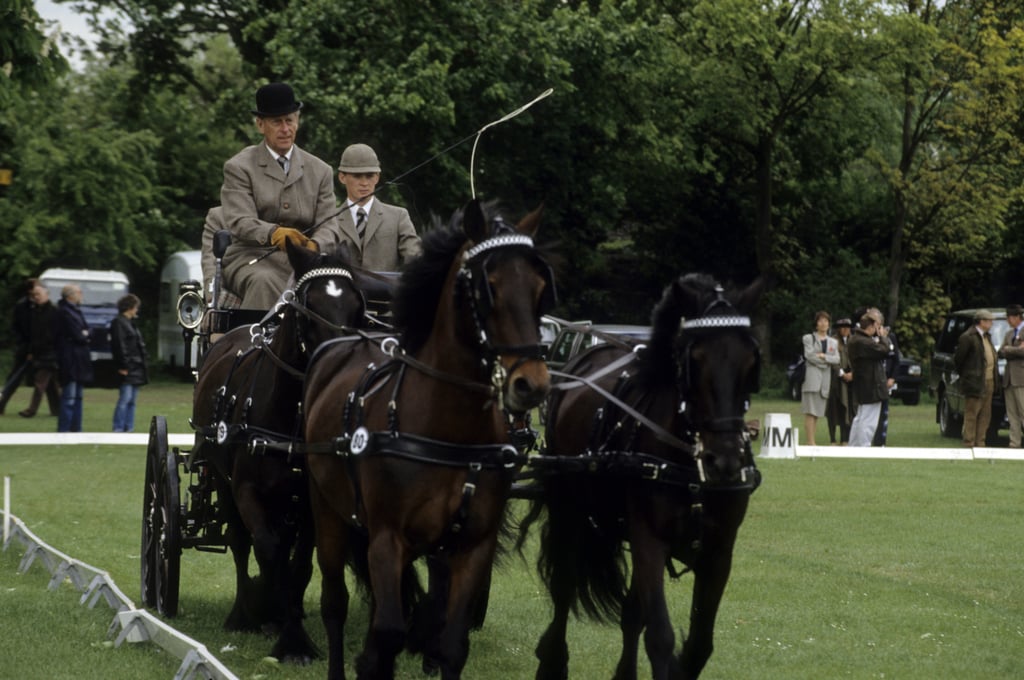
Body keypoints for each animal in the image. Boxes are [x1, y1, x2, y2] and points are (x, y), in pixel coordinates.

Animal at [190, 240, 374, 663]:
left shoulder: (309, 502)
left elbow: (300, 564)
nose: (341, 357)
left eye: (357, 304)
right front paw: (281, 625)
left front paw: (293, 630)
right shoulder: (246, 491)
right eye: (309, 304)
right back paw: (243, 614)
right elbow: (267, 550)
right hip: (222, 481)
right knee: (241, 544)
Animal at [303, 197, 557, 680]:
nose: (530, 385)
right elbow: (387, 634)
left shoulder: (471, 546)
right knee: (334, 605)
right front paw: (372, 661)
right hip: (328, 513)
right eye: (487, 287)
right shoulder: (387, 538)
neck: (450, 432)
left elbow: (450, 643)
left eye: (539, 288)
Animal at [524, 274, 765, 680]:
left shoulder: (718, 551)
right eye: (694, 360)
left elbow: (698, 645)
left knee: (630, 613)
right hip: (569, 510)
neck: (690, 469)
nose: (725, 462)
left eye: (750, 361)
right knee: (564, 588)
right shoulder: (649, 540)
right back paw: (552, 660)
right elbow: (661, 637)